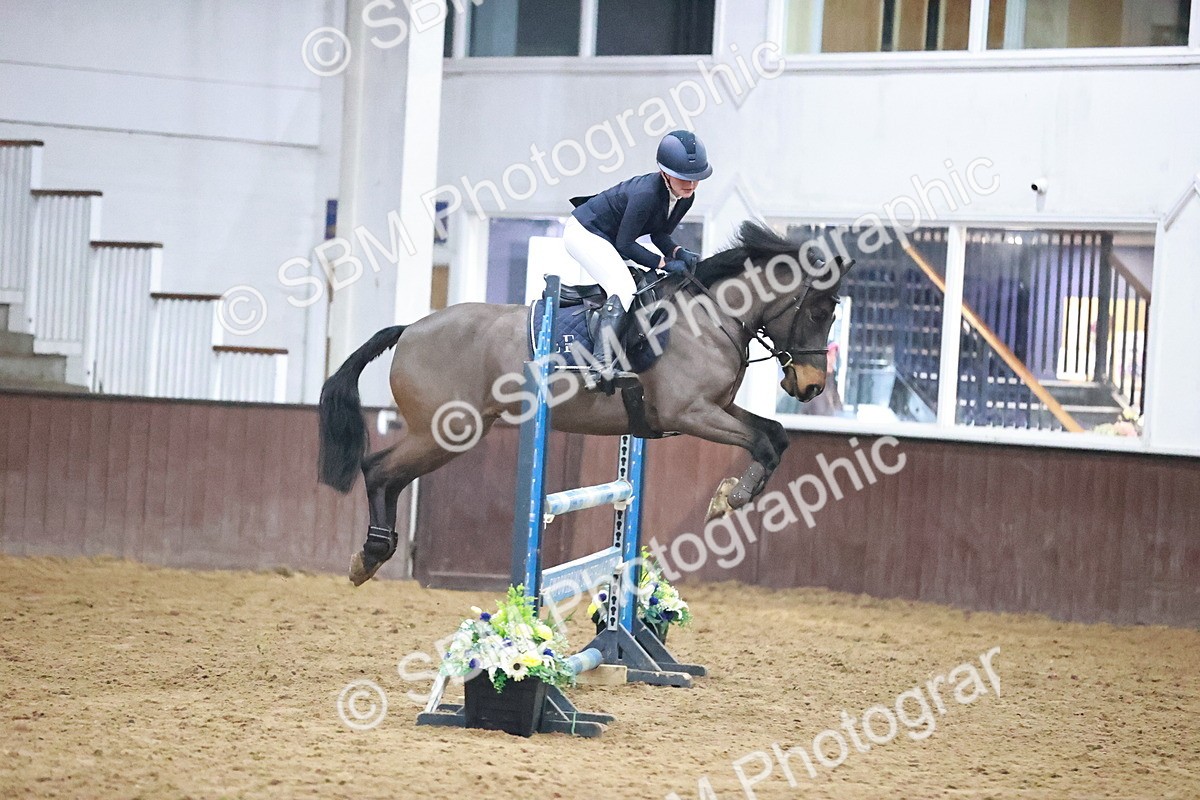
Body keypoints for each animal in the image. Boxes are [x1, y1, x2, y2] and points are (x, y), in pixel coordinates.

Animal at [317, 221, 853, 585]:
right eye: (819, 311)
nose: (810, 387)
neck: (710, 316)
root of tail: (410, 328)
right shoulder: (690, 413)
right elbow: (760, 444)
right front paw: (730, 498)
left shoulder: (709, 408)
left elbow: (774, 436)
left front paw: (729, 495)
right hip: (444, 431)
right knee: (378, 469)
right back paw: (370, 554)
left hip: (449, 433)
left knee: (391, 476)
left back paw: (373, 554)